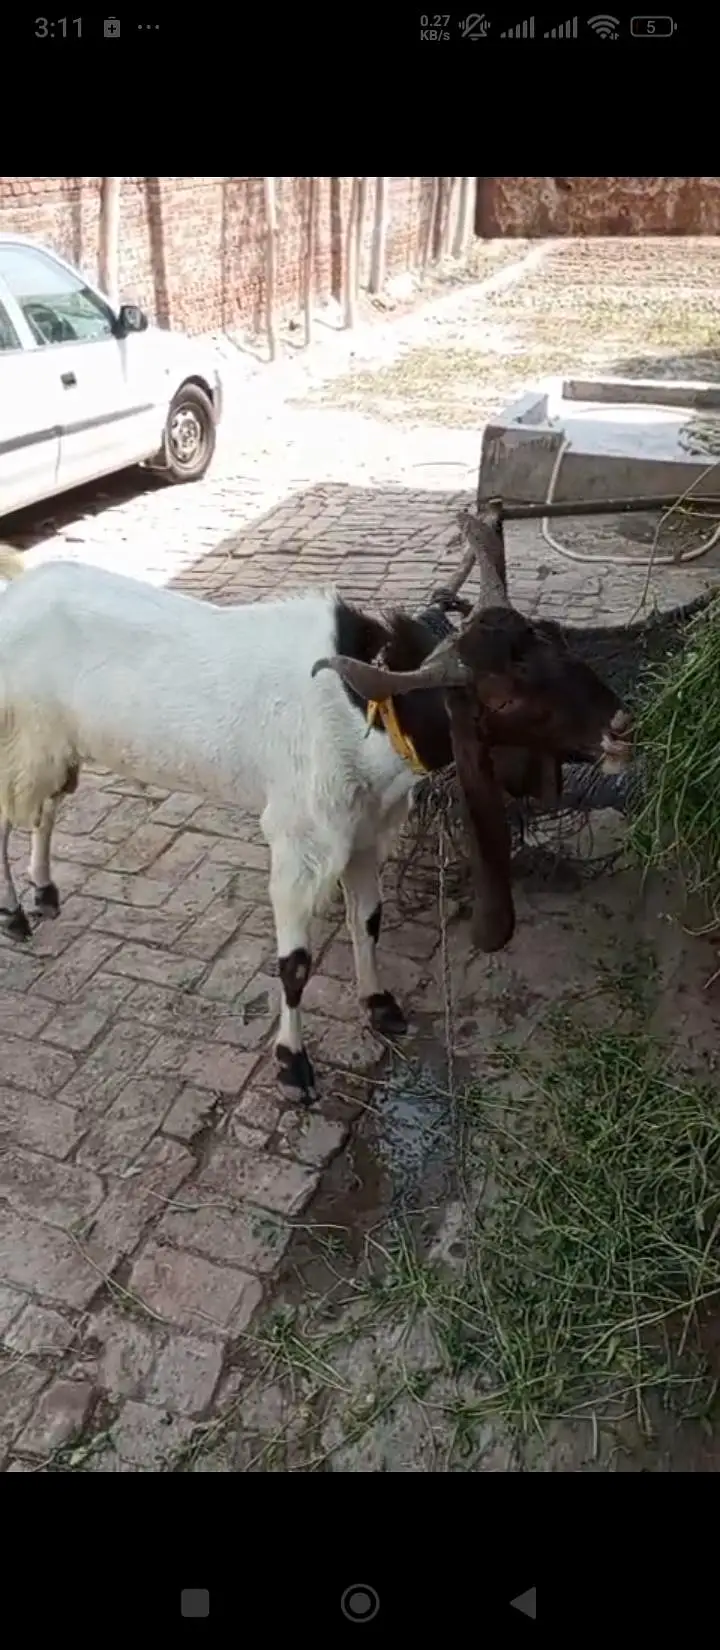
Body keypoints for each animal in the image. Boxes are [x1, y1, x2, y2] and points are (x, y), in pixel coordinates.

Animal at [0, 511, 632, 1104]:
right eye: (503, 697)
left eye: (552, 637)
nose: (622, 727)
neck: (361, 712)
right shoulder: (301, 841)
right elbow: (296, 963)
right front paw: (293, 1066)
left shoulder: (366, 832)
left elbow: (368, 919)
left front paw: (380, 1004)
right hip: (22, 737)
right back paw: (15, 916)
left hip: (56, 744)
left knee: (46, 809)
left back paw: (46, 891)